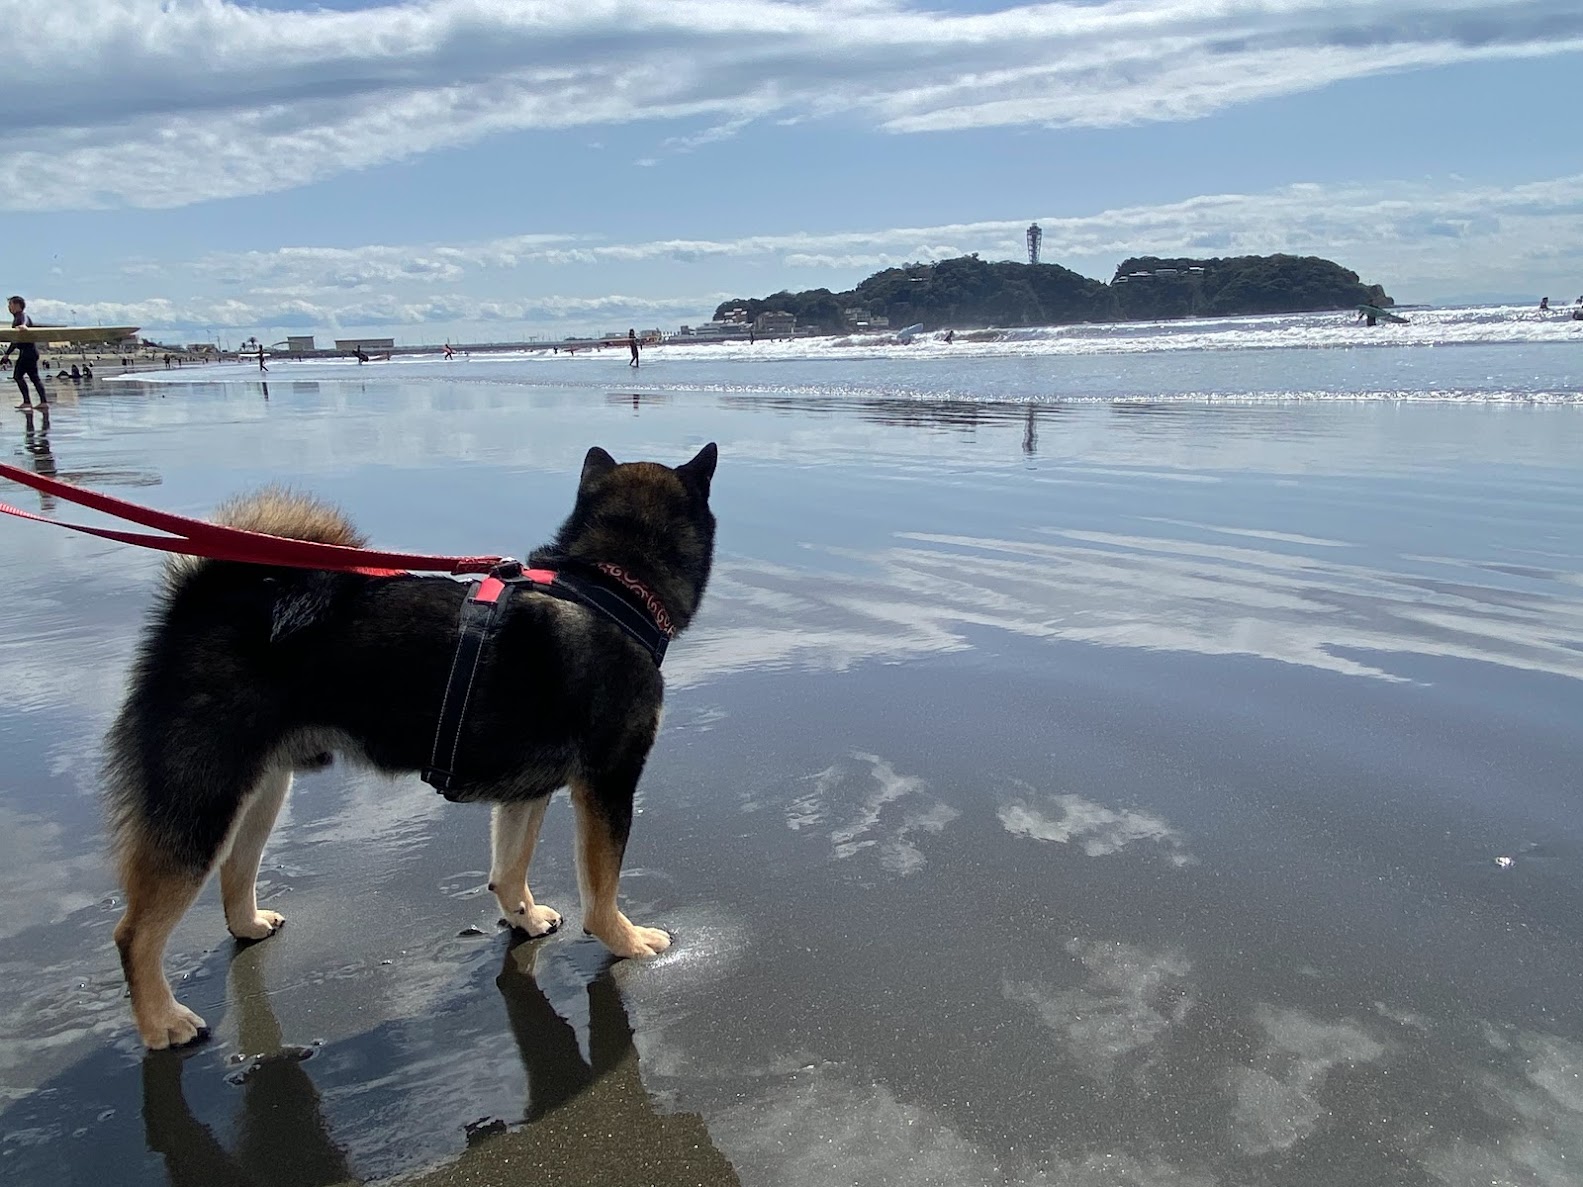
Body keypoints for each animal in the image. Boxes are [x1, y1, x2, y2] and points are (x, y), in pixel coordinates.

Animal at [102, 446, 715, 1050]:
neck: (610, 586)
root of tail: (199, 603)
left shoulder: (526, 789)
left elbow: (510, 866)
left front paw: (524, 918)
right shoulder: (609, 782)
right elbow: (602, 886)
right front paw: (628, 941)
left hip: (261, 788)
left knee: (235, 867)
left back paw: (248, 926)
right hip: (201, 798)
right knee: (134, 932)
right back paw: (162, 1021)